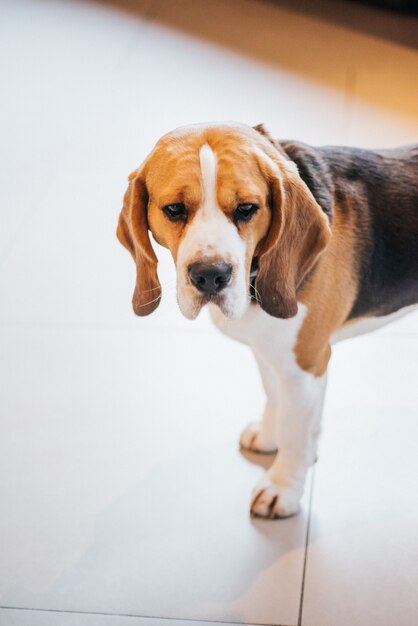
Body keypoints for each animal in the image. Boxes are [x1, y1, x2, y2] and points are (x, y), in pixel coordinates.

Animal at [115, 123, 418, 516]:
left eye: (246, 209)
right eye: (174, 209)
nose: (210, 276)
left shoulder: (305, 363)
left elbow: (295, 430)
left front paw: (283, 487)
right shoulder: (271, 352)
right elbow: (275, 396)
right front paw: (270, 436)